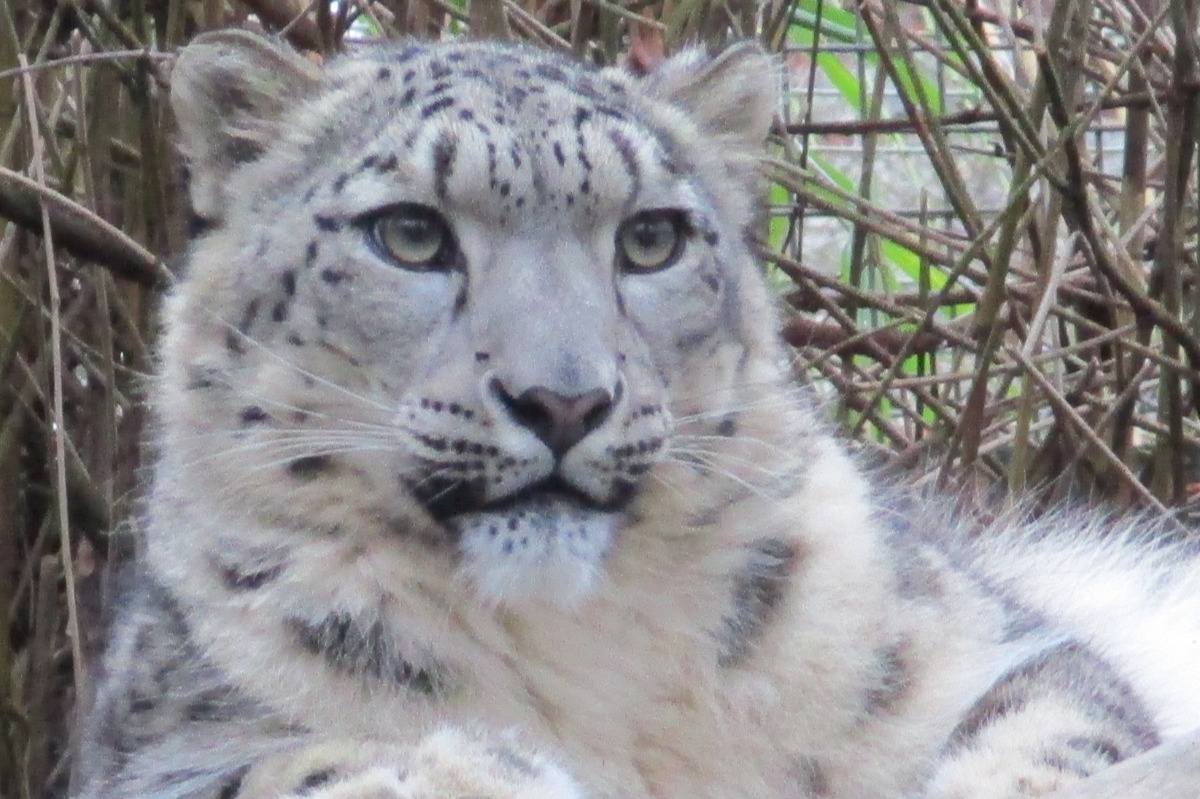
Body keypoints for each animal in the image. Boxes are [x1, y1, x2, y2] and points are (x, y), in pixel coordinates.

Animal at [75, 29, 1200, 799]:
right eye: (409, 233)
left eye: (652, 239)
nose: (563, 400)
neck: (580, 650)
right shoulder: (155, 748)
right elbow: (288, 767)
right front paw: (466, 769)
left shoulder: (976, 641)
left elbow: (1058, 719)